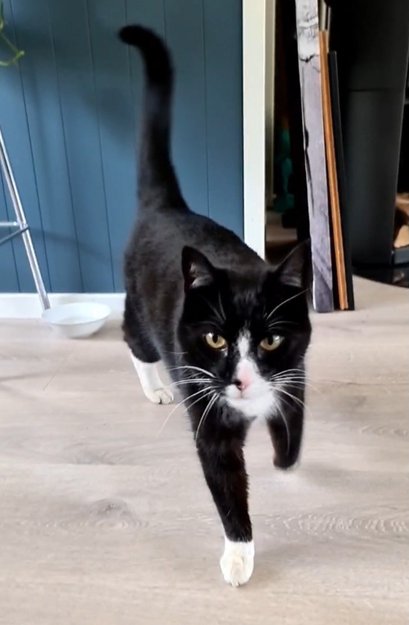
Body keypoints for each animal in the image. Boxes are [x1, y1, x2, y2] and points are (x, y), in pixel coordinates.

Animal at [119, 24, 312, 587]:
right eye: (214, 337)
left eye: (270, 339)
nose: (241, 380)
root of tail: (166, 207)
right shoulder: (210, 418)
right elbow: (226, 483)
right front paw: (239, 555)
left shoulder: (295, 370)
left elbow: (292, 423)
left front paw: (285, 460)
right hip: (142, 314)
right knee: (134, 340)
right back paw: (157, 386)